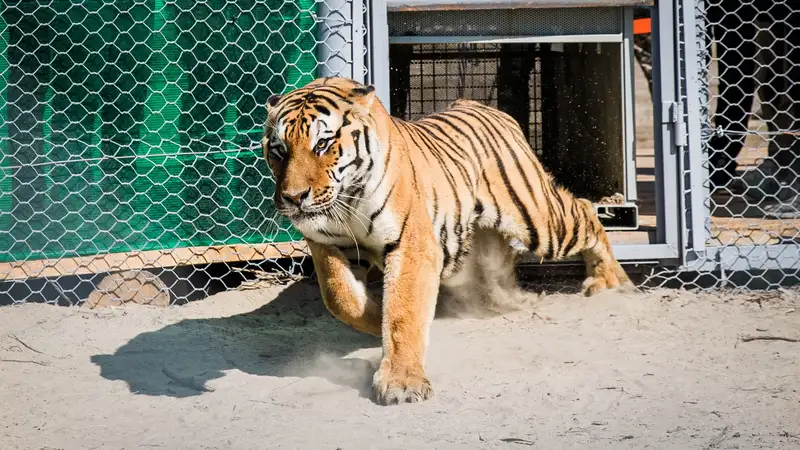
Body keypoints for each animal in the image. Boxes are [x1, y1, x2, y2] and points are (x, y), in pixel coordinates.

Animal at [262, 75, 632, 406]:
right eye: (279, 150)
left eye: (322, 144)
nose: (293, 198)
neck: (346, 200)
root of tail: (479, 105)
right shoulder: (327, 244)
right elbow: (341, 298)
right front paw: (374, 316)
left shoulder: (412, 244)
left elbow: (403, 312)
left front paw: (401, 382)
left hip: (539, 220)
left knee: (585, 209)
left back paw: (610, 281)